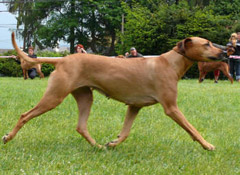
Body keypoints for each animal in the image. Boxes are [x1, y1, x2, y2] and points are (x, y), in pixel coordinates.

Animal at [1, 32, 227, 150]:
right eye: (207, 44)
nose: (226, 51)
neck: (171, 63)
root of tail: (63, 59)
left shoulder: (134, 106)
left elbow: (125, 132)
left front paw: (113, 143)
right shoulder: (171, 107)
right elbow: (192, 129)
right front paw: (208, 145)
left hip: (85, 97)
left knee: (81, 126)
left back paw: (98, 146)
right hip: (54, 96)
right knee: (24, 115)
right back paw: (8, 137)